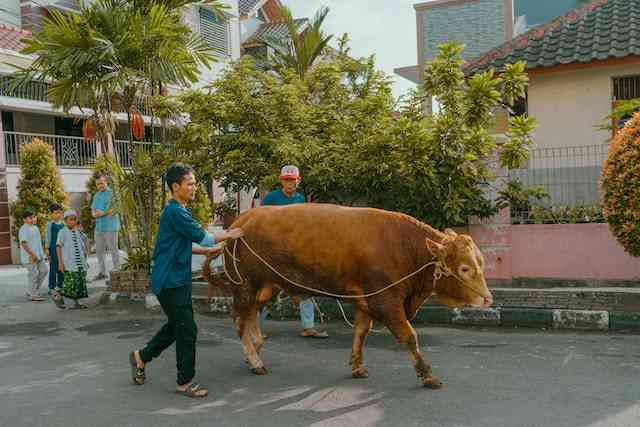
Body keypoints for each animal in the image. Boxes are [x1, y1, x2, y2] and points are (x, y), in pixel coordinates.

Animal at [215, 206, 490, 390]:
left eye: (481, 262)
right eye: (465, 268)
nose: (488, 299)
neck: (402, 245)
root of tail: (245, 217)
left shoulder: (365, 301)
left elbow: (361, 332)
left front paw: (357, 366)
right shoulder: (385, 301)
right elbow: (409, 337)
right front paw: (427, 375)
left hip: (265, 287)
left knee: (251, 317)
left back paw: (255, 349)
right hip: (245, 286)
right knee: (240, 321)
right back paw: (255, 359)